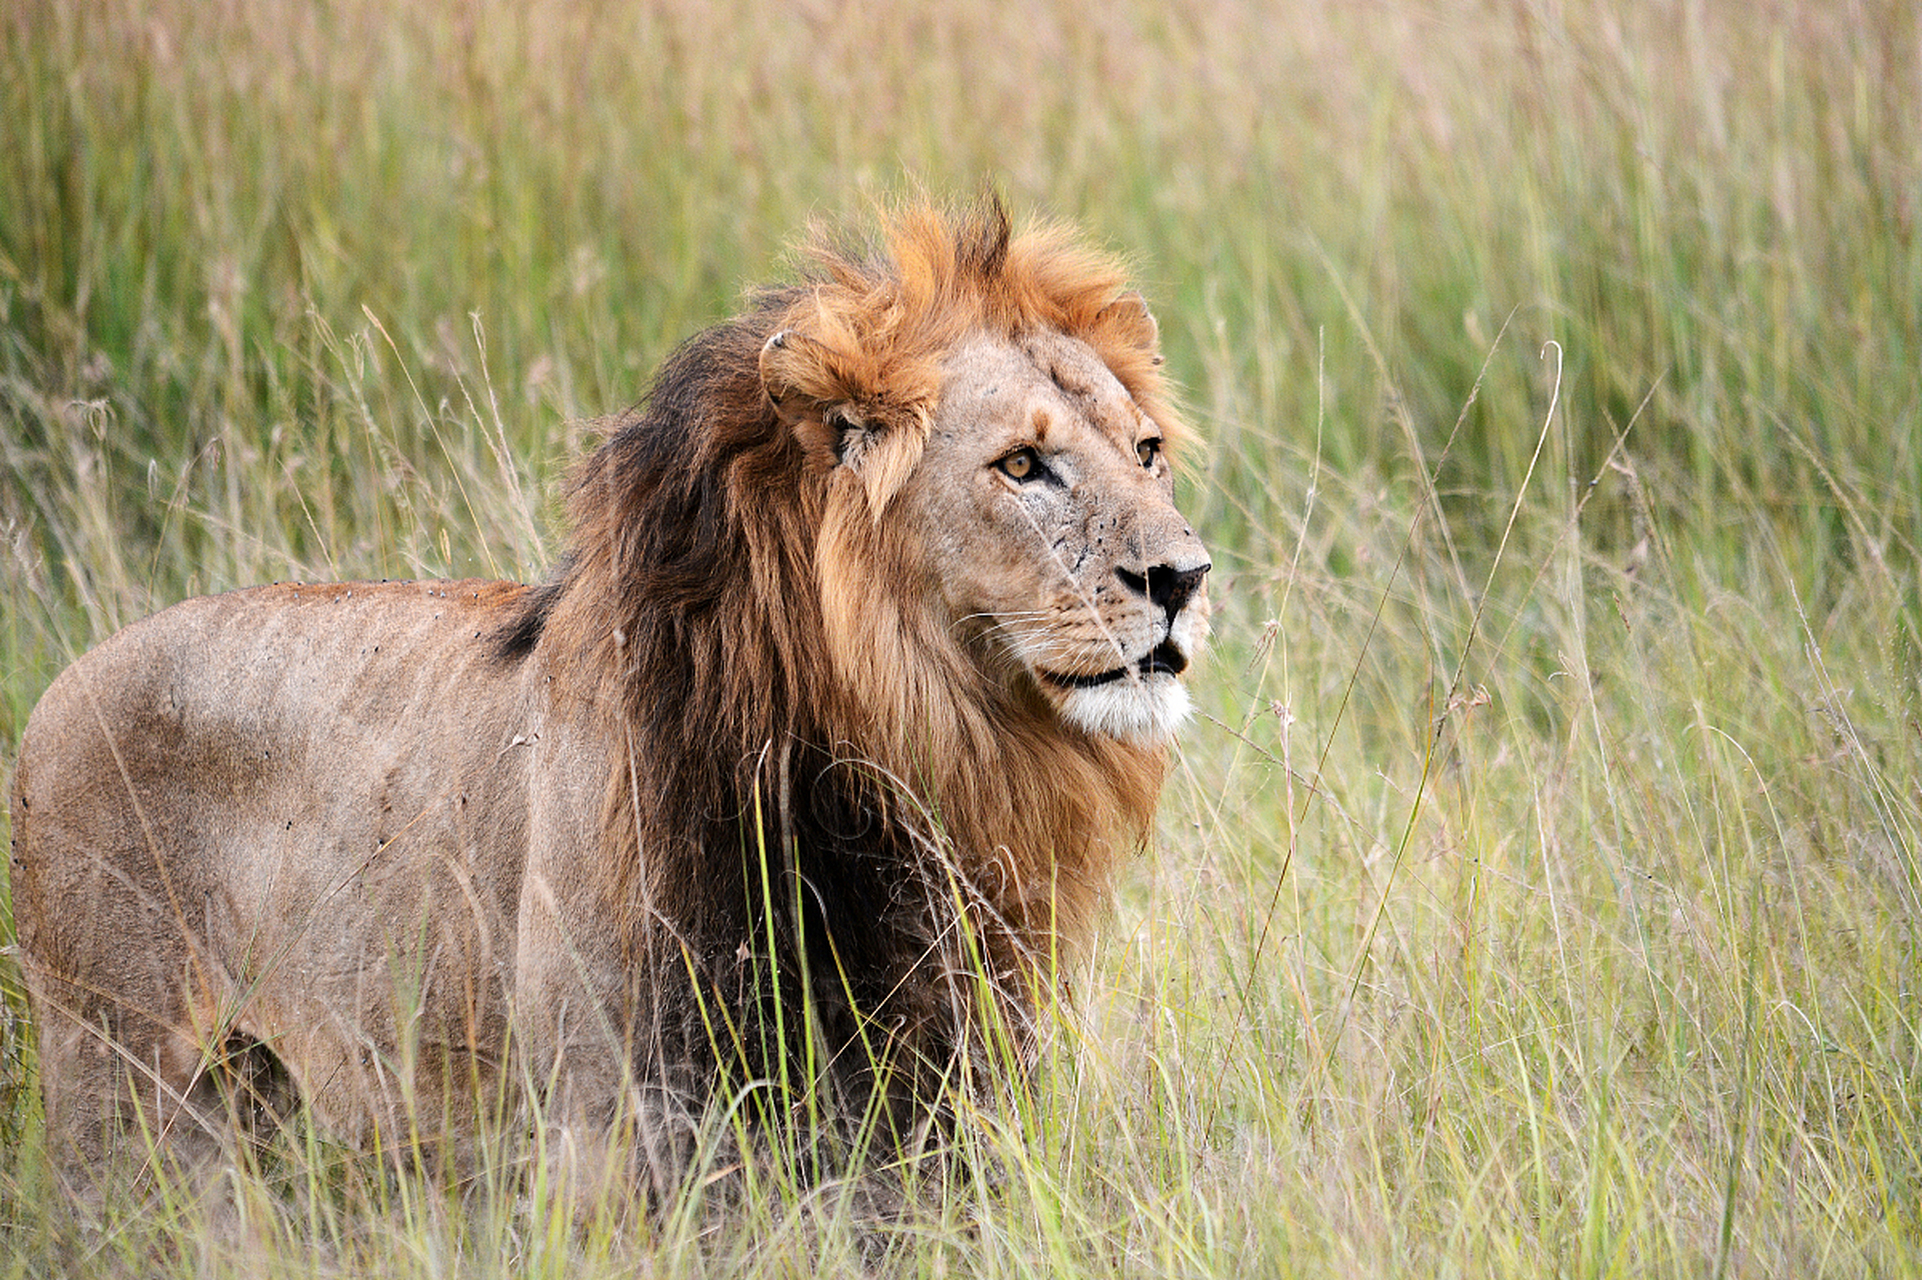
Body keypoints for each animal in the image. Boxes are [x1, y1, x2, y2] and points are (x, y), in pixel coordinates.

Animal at [11, 194, 1214, 1191]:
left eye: (1146, 451)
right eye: (1020, 465)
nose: (1184, 578)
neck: (895, 762)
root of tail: (58, 686)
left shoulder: (934, 1105)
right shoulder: (619, 1124)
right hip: (123, 1092)